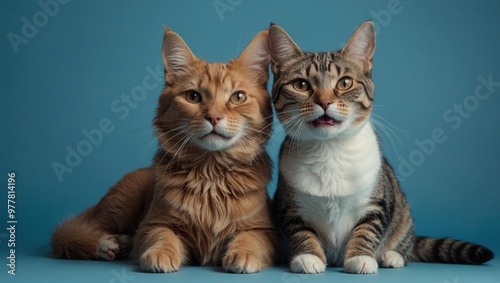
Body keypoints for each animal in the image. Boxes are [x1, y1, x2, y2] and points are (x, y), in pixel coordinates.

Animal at [51, 27, 278, 274]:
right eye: (193, 97)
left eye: (238, 97)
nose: (214, 117)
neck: (211, 174)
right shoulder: (153, 224)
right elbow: (162, 236)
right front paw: (160, 254)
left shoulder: (264, 229)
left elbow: (250, 238)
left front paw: (243, 254)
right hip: (121, 205)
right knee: (75, 234)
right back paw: (106, 245)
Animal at [268, 21, 494, 274]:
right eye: (301, 85)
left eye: (344, 82)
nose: (324, 102)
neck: (330, 150)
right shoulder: (289, 207)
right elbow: (300, 230)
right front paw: (308, 256)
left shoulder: (377, 202)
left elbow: (368, 229)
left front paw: (360, 257)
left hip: (402, 212)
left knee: (404, 242)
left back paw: (392, 255)